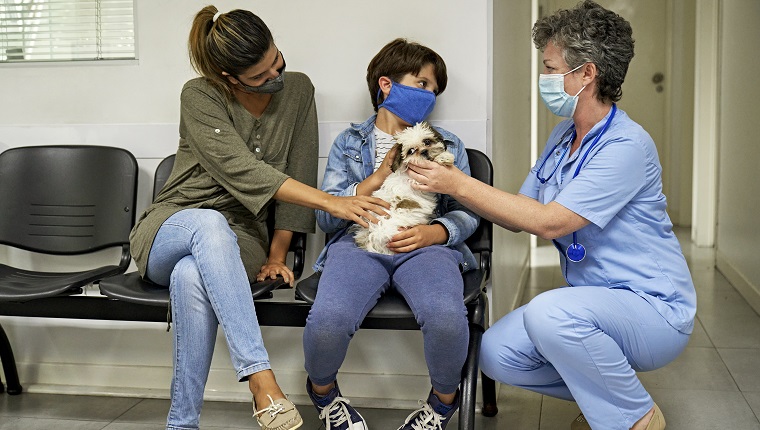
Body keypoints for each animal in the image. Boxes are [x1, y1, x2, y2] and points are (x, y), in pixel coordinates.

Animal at [352, 121, 454, 254]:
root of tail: (371, 235)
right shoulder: (418, 179)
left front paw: (444, 156)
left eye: (427, 141)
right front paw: (443, 157)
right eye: (411, 151)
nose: (423, 151)